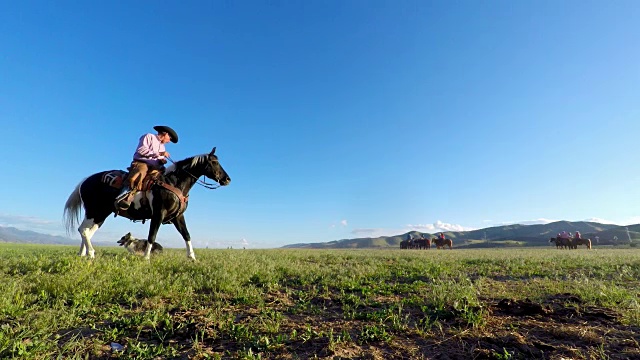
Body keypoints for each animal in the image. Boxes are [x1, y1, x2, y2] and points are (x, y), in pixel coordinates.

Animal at [62, 148, 231, 260]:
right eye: (214, 162)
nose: (227, 179)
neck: (173, 182)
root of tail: (85, 181)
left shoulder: (178, 216)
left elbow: (186, 235)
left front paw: (192, 258)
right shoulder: (158, 214)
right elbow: (152, 235)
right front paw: (146, 258)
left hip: (101, 214)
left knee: (87, 232)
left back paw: (82, 254)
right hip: (94, 211)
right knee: (83, 230)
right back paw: (90, 253)